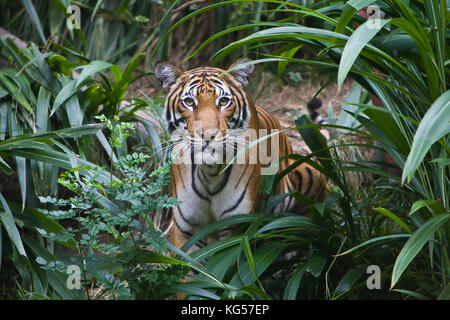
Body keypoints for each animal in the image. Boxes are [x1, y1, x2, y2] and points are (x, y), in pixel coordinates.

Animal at [154, 58, 326, 252]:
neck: (208, 172)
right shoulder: (187, 229)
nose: (208, 135)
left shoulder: (235, 227)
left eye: (223, 101)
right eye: (189, 102)